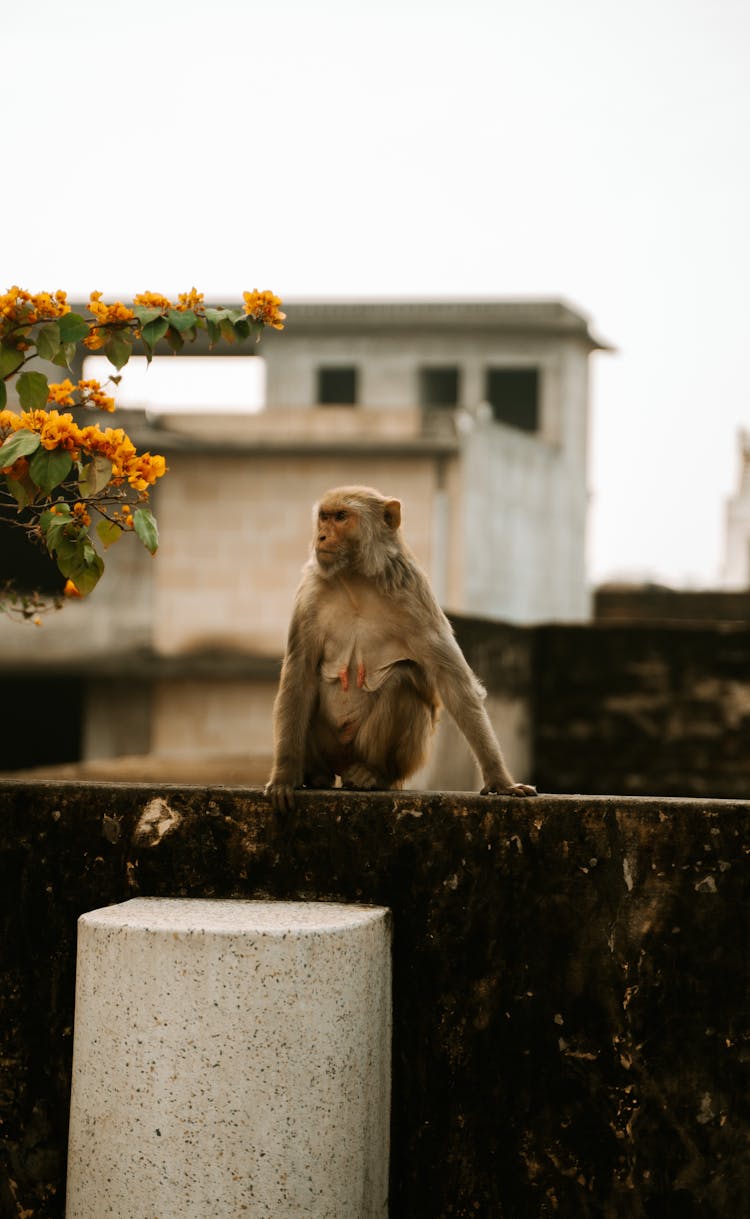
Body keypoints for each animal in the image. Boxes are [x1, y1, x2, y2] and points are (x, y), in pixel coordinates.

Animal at [267, 482, 536, 809]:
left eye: (341, 517)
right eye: (324, 517)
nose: (321, 537)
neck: (355, 580)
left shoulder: (413, 593)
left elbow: (453, 683)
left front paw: (500, 780)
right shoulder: (310, 593)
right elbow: (299, 674)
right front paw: (284, 775)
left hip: (403, 759)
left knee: (402, 680)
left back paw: (373, 774)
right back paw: (315, 775)